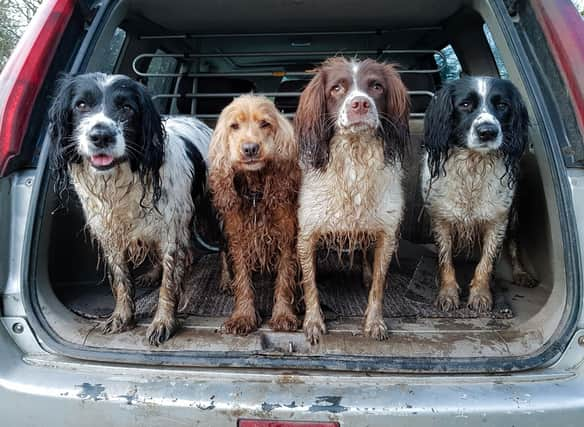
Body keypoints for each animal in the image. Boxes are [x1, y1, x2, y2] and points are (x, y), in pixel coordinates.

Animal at [49, 73, 211, 346]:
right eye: (81, 105)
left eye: (127, 107)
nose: (101, 136)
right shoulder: (110, 235)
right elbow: (122, 280)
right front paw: (121, 317)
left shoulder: (171, 230)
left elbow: (169, 284)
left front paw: (163, 322)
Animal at [209, 95, 302, 336]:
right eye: (234, 126)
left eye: (265, 124)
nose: (250, 148)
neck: (255, 192)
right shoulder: (238, 238)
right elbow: (242, 279)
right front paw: (243, 317)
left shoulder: (287, 237)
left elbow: (285, 278)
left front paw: (284, 315)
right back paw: (226, 282)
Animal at [294, 57, 408, 344]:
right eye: (337, 88)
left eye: (376, 86)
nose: (360, 104)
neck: (354, 158)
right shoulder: (307, 233)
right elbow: (310, 284)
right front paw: (313, 322)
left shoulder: (386, 231)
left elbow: (378, 284)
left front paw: (374, 322)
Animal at [420, 77, 540, 312]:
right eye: (465, 104)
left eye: (502, 105)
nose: (488, 131)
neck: (473, 166)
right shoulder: (441, 219)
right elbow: (445, 260)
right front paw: (448, 294)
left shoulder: (498, 220)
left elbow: (486, 262)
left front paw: (481, 295)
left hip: (514, 217)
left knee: (513, 245)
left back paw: (521, 274)